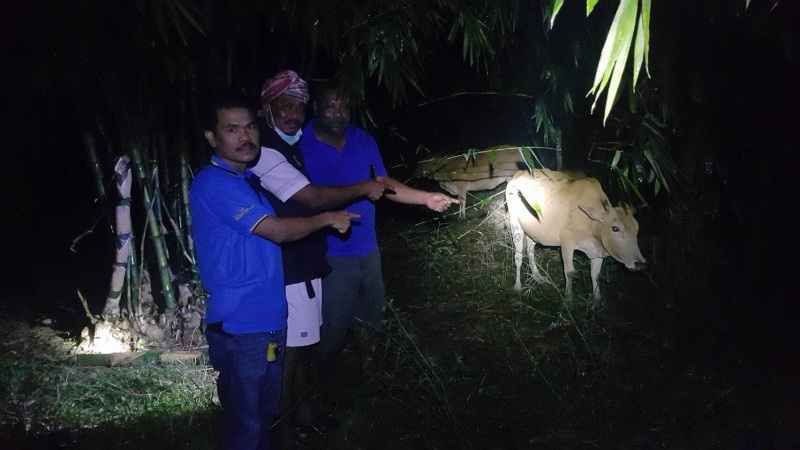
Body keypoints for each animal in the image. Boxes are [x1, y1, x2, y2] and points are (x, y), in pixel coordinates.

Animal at [506, 169, 645, 300]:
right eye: (615, 228)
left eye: (637, 229)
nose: (639, 263)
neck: (591, 224)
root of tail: (519, 173)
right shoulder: (567, 242)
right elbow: (570, 272)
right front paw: (568, 298)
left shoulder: (598, 250)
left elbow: (595, 275)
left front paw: (597, 299)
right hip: (515, 224)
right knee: (518, 256)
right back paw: (518, 286)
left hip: (533, 231)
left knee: (530, 250)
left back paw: (537, 277)